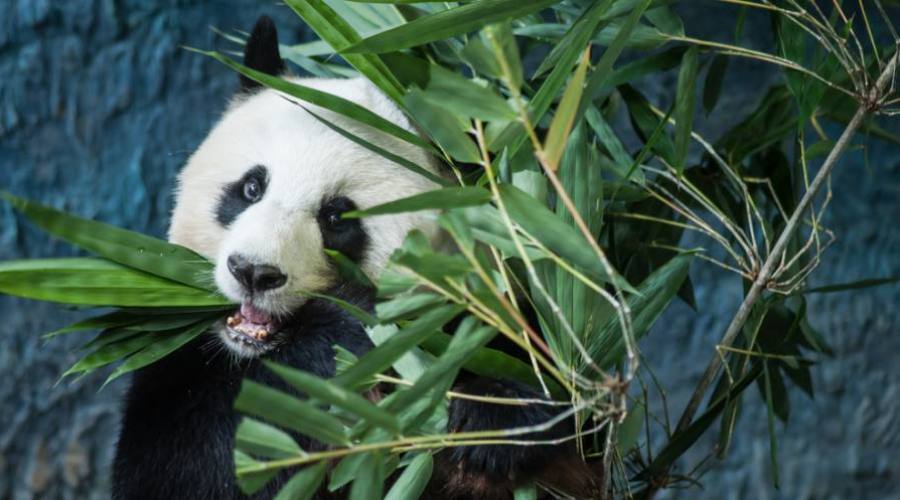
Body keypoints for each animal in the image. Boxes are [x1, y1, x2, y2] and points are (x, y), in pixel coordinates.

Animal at [112, 16, 600, 500]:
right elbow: (193, 462)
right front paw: (345, 328)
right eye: (251, 188)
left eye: (336, 217)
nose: (253, 272)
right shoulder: (181, 358)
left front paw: (495, 420)